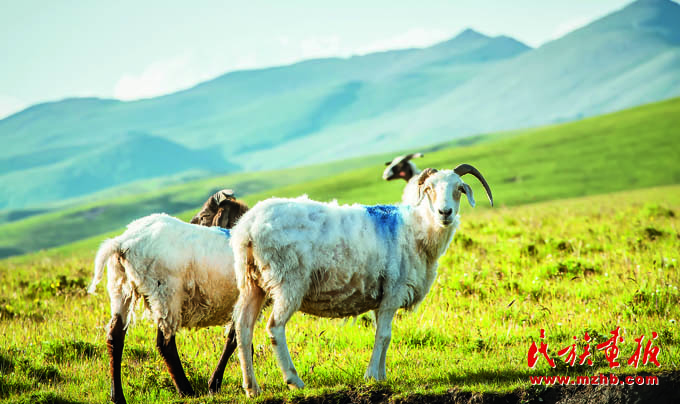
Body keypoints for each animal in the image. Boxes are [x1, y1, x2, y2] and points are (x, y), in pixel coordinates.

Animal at [86, 213, 243, 402]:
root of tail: (122, 242)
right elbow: (235, 339)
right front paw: (215, 384)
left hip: (120, 287)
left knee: (114, 336)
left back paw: (117, 396)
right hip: (166, 293)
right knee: (165, 344)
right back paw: (186, 390)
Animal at [231, 163, 492, 394]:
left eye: (459, 188)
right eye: (429, 189)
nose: (445, 213)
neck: (416, 230)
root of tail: (248, 228)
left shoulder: (383, 295)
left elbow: (383, 335)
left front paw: (381, 375)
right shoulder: (394, 290)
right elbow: (384, 335)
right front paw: (372, 376)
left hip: (251, 282)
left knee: (243, 329)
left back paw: (252, 387)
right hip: (288, 280)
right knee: (274, 327)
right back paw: (293, 380)